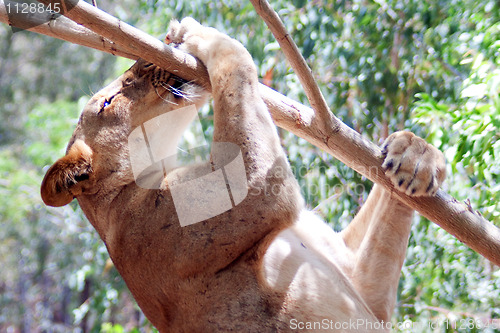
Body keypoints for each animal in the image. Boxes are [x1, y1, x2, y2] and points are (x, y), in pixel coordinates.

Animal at [40, 18, 446, 332]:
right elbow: (234, 59)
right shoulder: (248, 190)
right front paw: (199, 32)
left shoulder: (362, 284)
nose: (141, 59)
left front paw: (415, 156)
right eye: (107, 103)